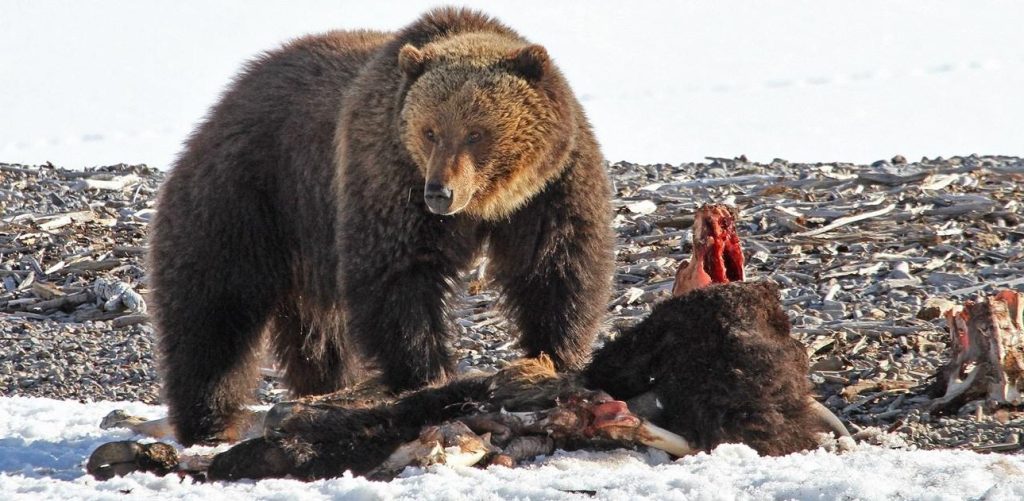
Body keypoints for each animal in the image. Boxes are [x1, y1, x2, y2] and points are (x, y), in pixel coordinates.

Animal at [148, 7, 615, 446]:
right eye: (430, 131)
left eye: (476, 133)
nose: (440, 192)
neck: (489, 204)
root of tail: (229, 96)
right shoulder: (389, 176)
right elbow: (397, 275)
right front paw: (426, 375)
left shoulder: (552, 187)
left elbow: (556, 266)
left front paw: (553, 358)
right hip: (250, 192)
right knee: (214, 309)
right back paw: (209, 421)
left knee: (319, 334)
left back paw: (324, 387)